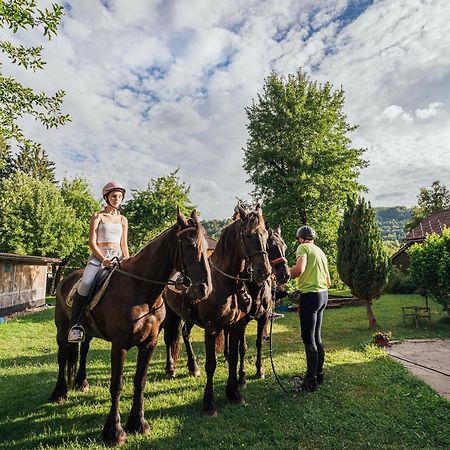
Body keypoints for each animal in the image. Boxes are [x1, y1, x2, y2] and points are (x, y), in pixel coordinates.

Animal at [50, 210, 212, 446]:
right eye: (190, 245)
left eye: (205, 245)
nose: (204, 288)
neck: (141, 291)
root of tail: (66, 279)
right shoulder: (120, 345)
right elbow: (116, 384)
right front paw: (114, 431)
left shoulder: (149, 344)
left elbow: (140, 381)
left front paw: (138, 423)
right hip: (62, 330)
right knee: (63, 357)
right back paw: (59, 393)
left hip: (87, 332)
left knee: (84, 350)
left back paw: (82, 382)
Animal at [163, 206, 272, 416]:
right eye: (247, 235)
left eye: (265, 234)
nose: (264, 272)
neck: (225, 284)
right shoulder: (211, 328)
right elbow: (211, 363)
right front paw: (209, 403)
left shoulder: (236, 326)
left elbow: (234, 357)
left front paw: (234, 393)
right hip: (170, 314)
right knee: (168, 339)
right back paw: (171, 368)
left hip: (188, 318)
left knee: (185, 334)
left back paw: (193, 367)